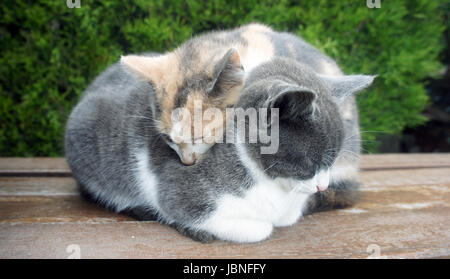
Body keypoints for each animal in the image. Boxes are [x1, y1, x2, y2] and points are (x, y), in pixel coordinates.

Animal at [64, 54, 372, 243]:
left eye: (333, 161)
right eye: (311, 163)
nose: (323, 186)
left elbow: (289, 217)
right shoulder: (177, 189)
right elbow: (257, 228)